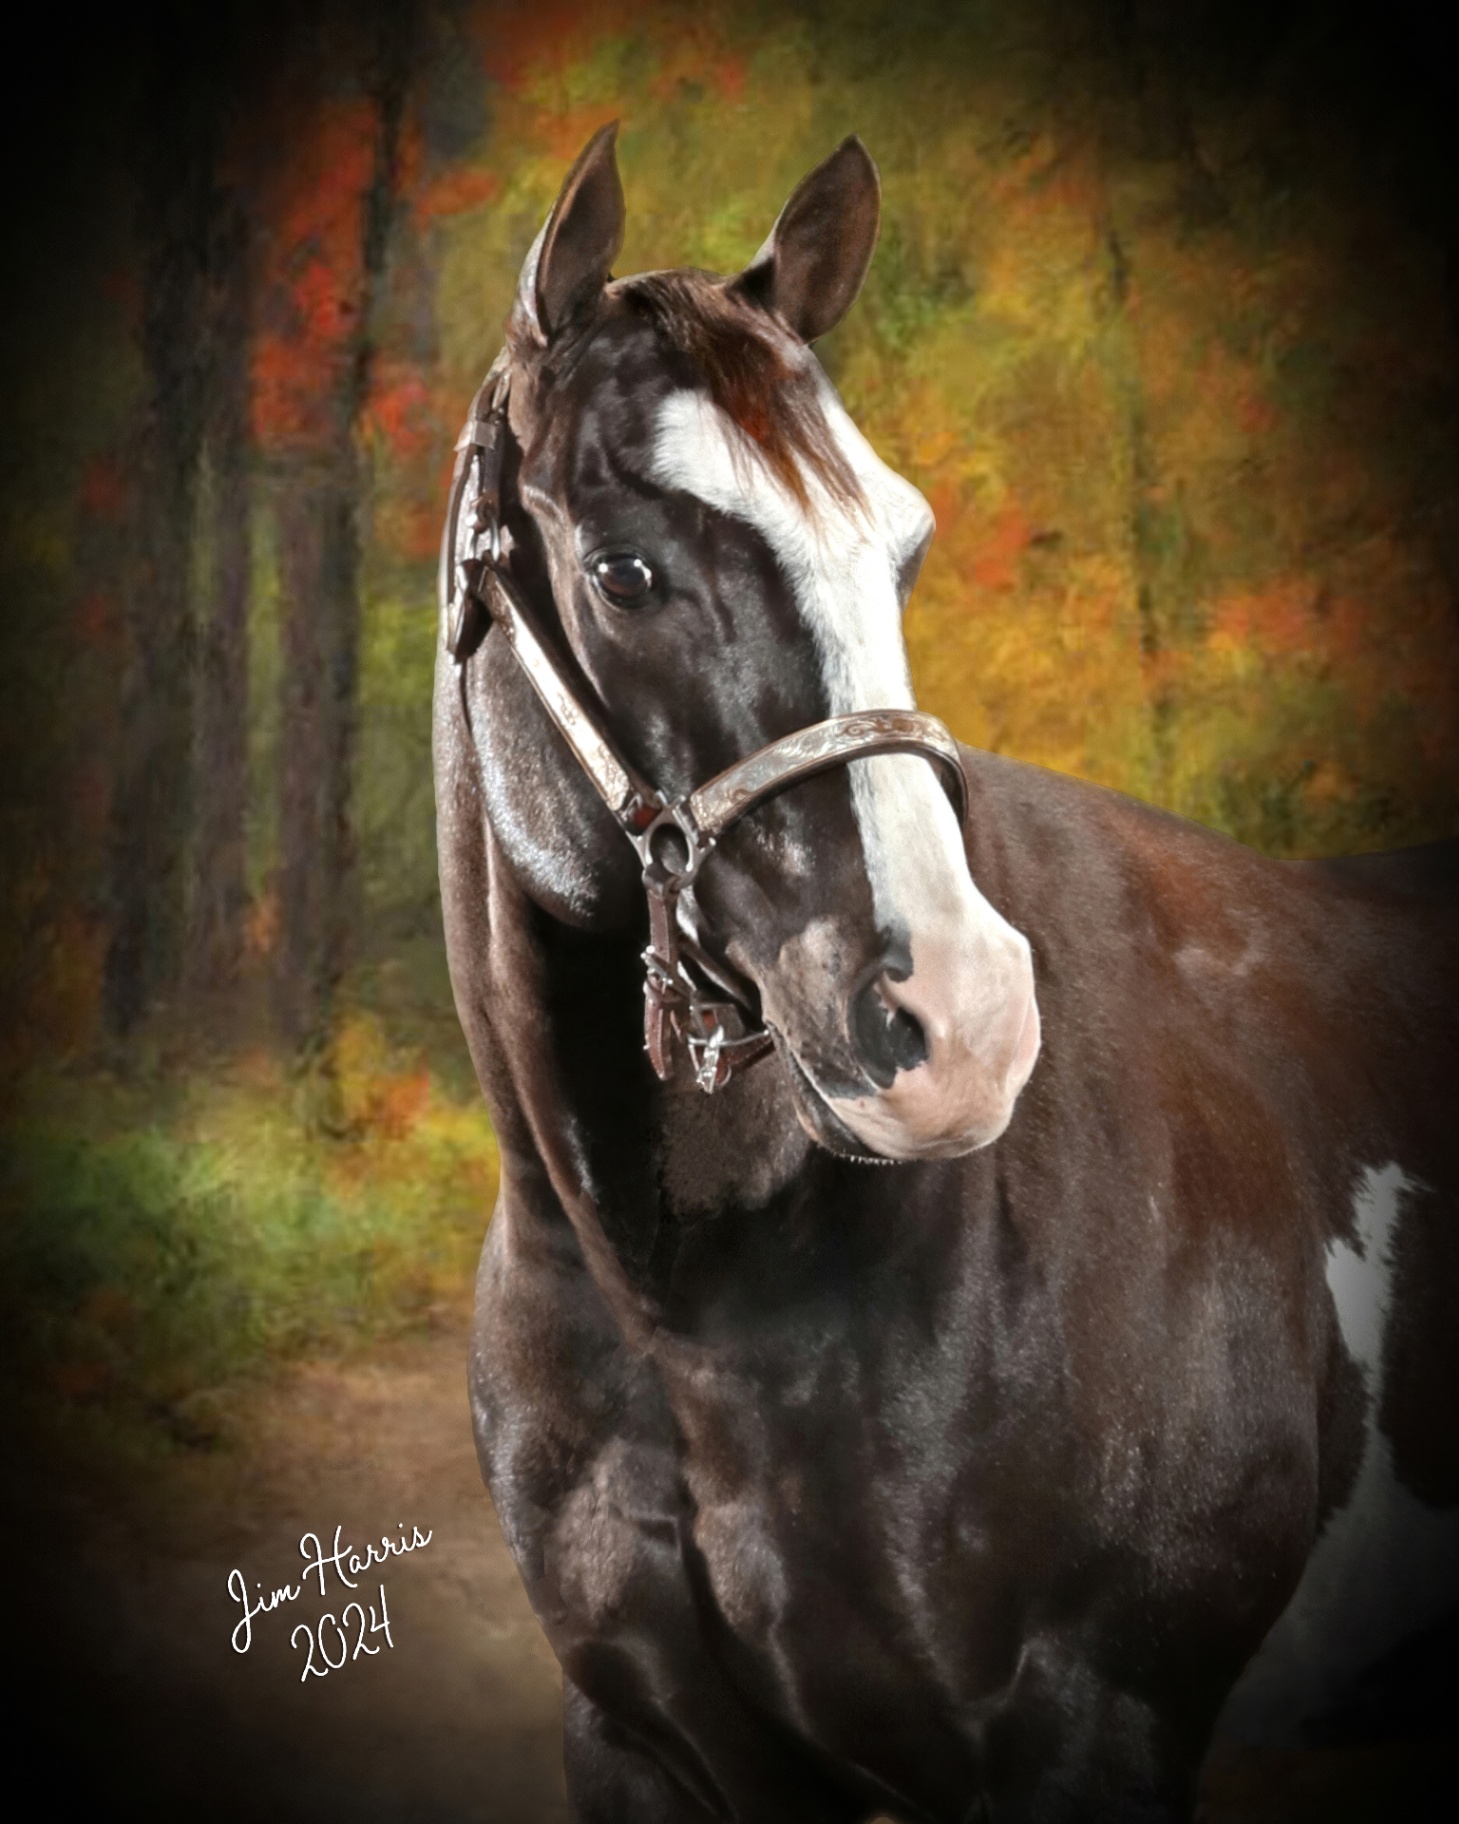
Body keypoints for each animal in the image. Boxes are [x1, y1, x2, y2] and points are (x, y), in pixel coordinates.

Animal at [433, 125, 1459, 1822]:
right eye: (625, 573)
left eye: (898, 546)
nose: (959, 1026)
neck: (698, 1311)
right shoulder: (645, 1747)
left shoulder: (1088, 1736)